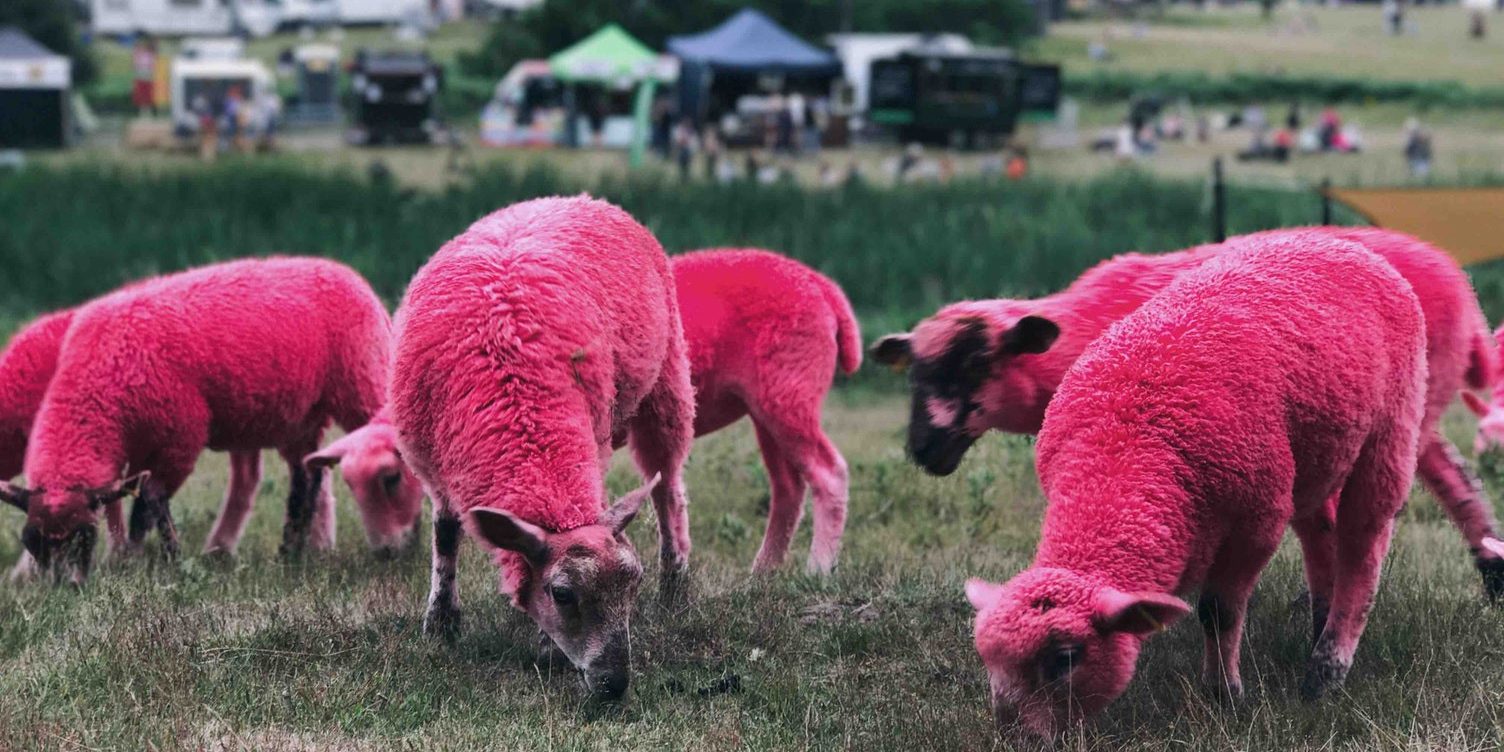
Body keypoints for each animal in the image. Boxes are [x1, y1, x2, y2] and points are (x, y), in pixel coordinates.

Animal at [0, 257, 394, 580]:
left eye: (83, 537)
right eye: (32, 541)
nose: (62, 587)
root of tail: (349, 275)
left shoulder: (181, 435)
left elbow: (149, 501)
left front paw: (159, 559)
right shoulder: (137, 446)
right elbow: (131, 501)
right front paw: (130, 557)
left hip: (360, 382)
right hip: (299, 416)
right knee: (307, 475)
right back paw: (289, 554)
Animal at [385, 197, 694, 700]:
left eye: (633, 582)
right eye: (562, 594)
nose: (614, 684)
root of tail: (581, 197)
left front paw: (546, 648)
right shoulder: (434, 464)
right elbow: (445, 533)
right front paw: (441, 622)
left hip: (667, 381)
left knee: (668, 486)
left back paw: (676, 581)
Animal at [878, 225, 1504, 595]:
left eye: (977, 363)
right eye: (914, 372)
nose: (924, 448)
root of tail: (1464, 292)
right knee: (1455, 476)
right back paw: (1491, 570)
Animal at [968, 231, 1425, 736]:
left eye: (1066, 657)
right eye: (986, 658)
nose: (1015, 737)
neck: (1124, 449)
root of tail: (1334, 240)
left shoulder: (1257, 521)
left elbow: (1217, 610)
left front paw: (1225, 694)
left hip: (1392, 424)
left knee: (1363, 542)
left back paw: (1325, 670)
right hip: (1313, 457)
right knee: (1321, 532)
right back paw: (1319, 626)